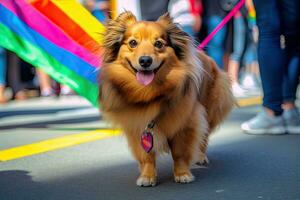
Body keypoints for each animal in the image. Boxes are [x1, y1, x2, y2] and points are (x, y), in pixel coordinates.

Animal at [98, 11, 234, 187]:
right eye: (133, 43)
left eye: (158, 44)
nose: (145, 61)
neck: (149, 93)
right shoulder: (138, 127)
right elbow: (146, 156)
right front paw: (147, 176)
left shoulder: (185, 124)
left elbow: (180, 153)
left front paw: (183, 174)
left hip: (209, 110)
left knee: (204, 136)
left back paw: (200, 156)